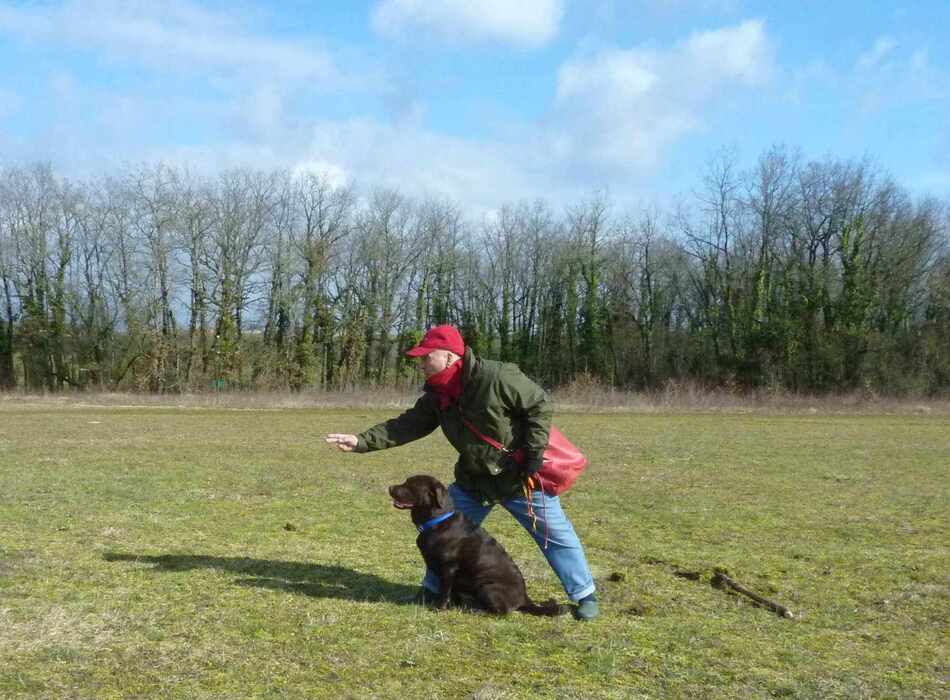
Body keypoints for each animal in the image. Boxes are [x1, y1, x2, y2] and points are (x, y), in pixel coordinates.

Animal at [388, 474, 564, 616]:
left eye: (410, 484)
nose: (390, 487)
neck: (437, 521)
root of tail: (525, 599)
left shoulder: (448, 568)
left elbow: (445, 591)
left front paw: (440, 608)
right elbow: (452, 592)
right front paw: (453, 606)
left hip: (486, 587)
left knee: (502, 612)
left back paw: (478, 610)